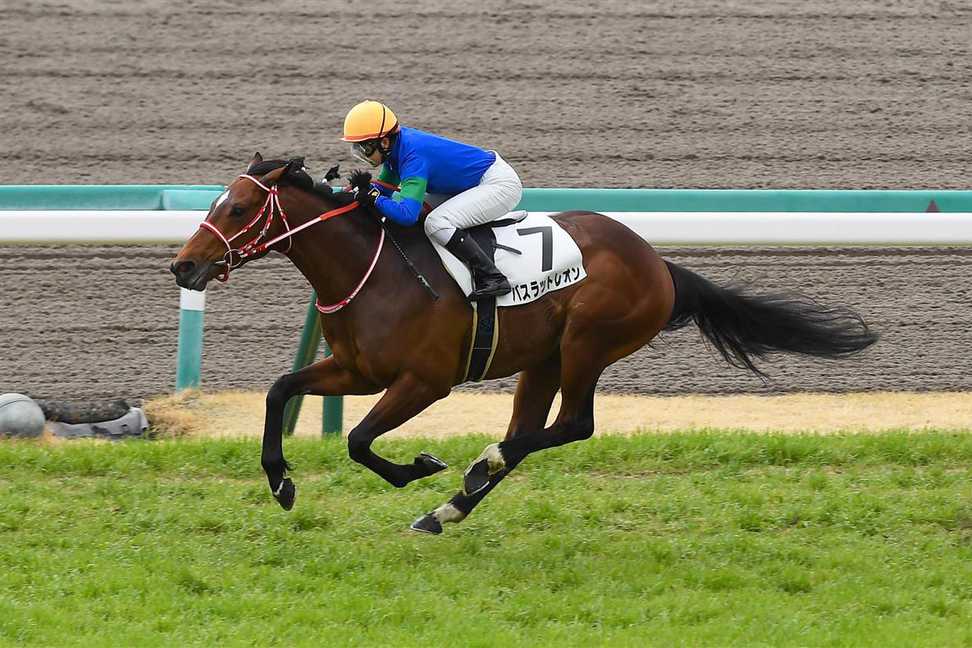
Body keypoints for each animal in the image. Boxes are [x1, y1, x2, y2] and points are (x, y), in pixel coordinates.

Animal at [171, 154, 876, 536]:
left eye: (237, 209)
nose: (184, 266)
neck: (370, 271)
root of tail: (659, 264)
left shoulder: (424, 381)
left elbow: (359, 440)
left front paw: (417, 466)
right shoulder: (354, 369)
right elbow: (279, 391)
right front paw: (280, 481)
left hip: (588, 342)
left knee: (570, 426)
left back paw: (475, 467)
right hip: (543, 360)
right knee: (531, 432)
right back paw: (448, 509)